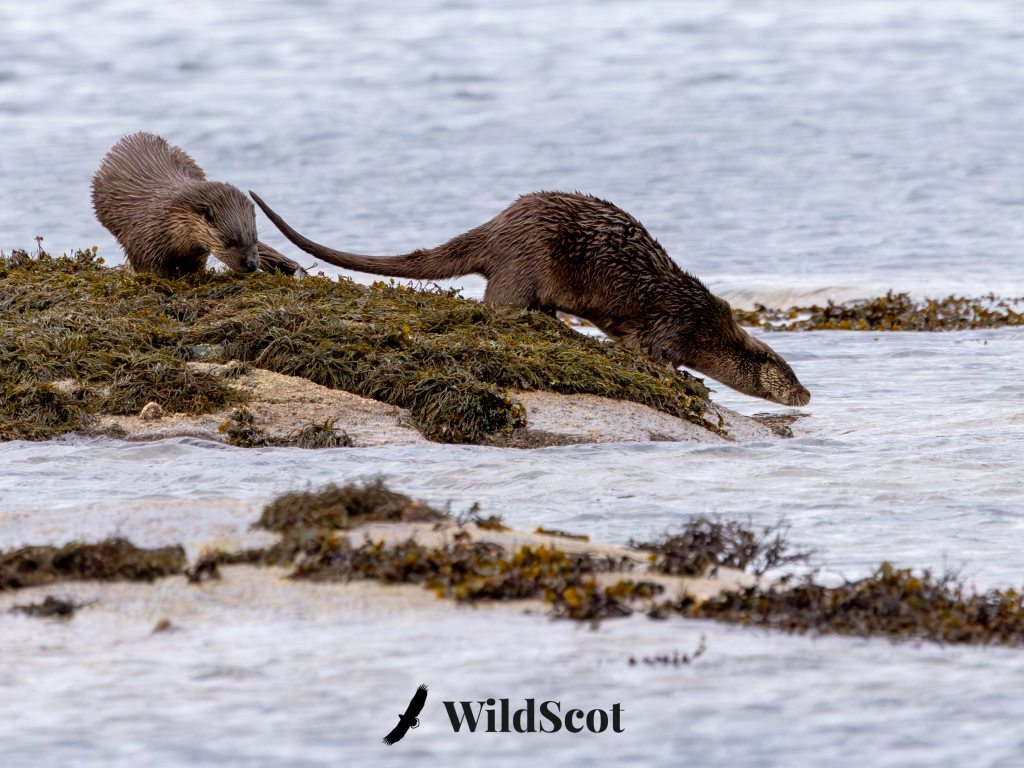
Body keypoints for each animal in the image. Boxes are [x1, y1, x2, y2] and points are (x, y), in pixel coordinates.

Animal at [92, 132, 305, 278]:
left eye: (254, 237)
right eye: (231, 241)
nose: (251, 264)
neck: (168, 221)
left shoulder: (196, 251)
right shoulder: (144, 242)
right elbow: (150, 270)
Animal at [250, 190, 810, 406]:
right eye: (790, 374)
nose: (807, 395)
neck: (707, 326)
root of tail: (501, 226)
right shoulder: (672, 323)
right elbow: (653, 354)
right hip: (525, 263)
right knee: (497, 304)